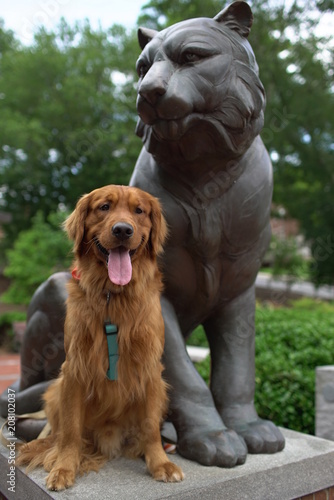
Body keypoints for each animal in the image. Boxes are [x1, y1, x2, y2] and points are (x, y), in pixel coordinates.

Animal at [17, 186, 184, 490]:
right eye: (104, 207)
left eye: (139, 211)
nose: (122, 230)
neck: (113, 297)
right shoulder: (74, 368)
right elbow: (71, 429)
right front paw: (64, 467)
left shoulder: (151, 370)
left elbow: (150, 427)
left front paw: (159, 463)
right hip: (55, 389)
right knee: (59, 434)